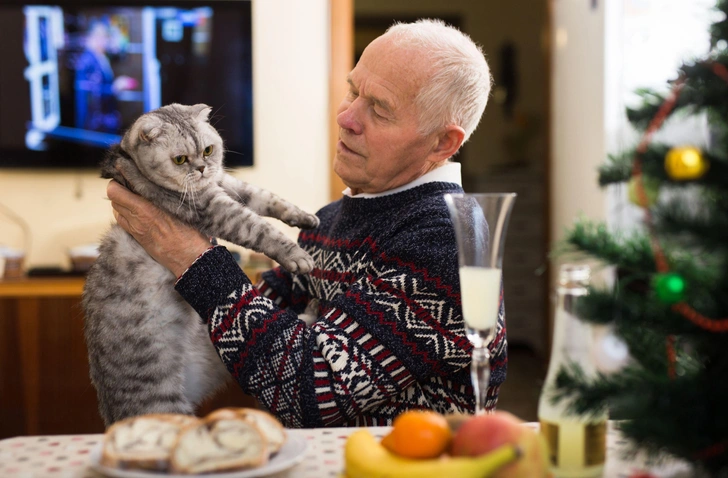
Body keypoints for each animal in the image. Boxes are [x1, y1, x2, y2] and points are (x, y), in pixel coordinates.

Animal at [82, 103, 318, 426]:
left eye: (208, 150)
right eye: (180, 159)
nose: (202, 168)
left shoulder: (226, 184)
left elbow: (268, 199)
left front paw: (305, 217)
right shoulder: (217, 208)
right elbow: (260, 229)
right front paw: (296, 255)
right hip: (164, 401)